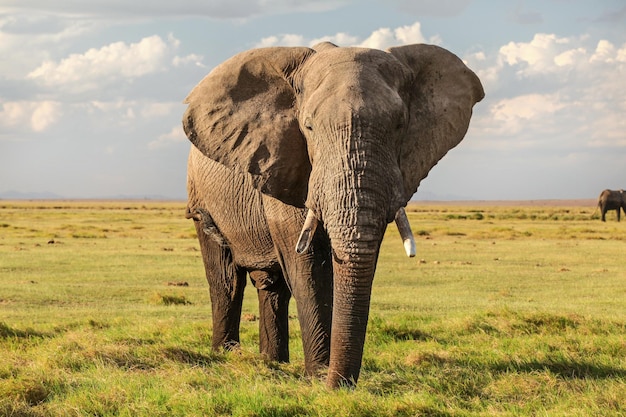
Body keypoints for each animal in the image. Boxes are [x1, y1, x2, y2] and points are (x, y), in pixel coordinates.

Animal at [180, 41, 482, 386]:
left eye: (400, 125)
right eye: (308, 127)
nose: (342, 385)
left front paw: (323, 376)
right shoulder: (287, 163)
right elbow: (307, 267)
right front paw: (319, 376)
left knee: (271, 285)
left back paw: (273, 361)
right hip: (201, 196)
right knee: (226, 279)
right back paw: (227, 355)